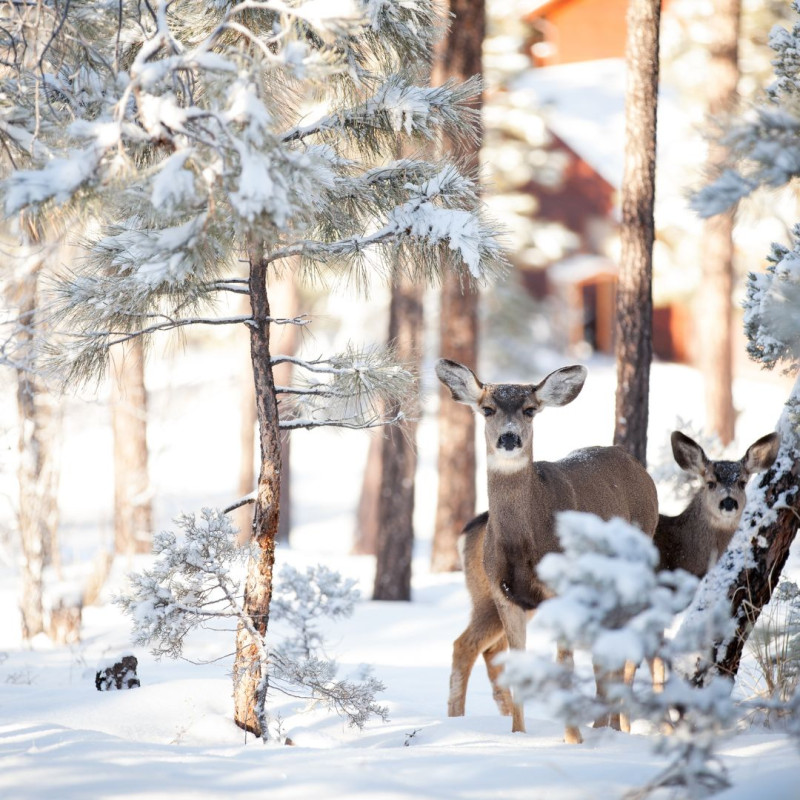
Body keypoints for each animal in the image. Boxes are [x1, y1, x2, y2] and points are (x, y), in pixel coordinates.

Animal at [434, 358, 660, 744]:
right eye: (487, 409)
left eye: (529, 409)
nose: (509, 438)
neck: (524, 542)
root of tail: (634, 465)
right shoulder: (505, 594)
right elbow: (517, 663)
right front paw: (518, 734)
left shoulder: (560, 592)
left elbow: (564, 664)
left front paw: (572, 740)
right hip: (489, 597)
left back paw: (610, 728)